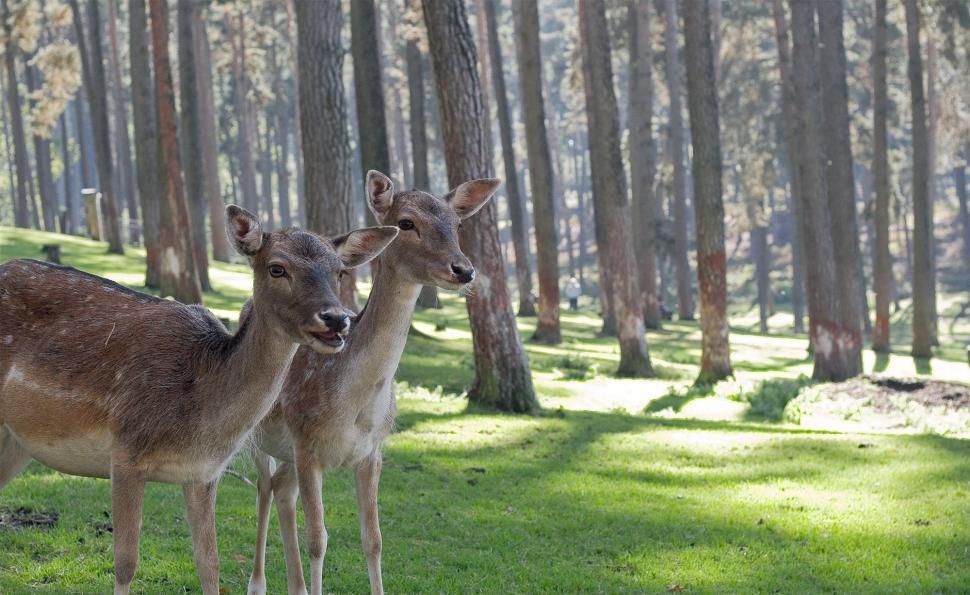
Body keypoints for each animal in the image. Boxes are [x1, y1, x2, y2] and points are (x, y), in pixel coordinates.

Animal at [0, 205, 399, 595]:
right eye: (277, 268)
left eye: (340, 271)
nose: (336, 319)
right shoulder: (125, 451)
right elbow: (126, 564)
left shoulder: (203, 473)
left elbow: (210, 568)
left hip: (16, 443)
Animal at [246, 171, 499, 595]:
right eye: (406, 223)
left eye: (458, 224)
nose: (464, 270)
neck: (355, 406)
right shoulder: (307, 444)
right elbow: (319, 540)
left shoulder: (372, 451)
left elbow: (374, 540)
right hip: (256, 433)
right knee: (265, 487)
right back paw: (257, 583)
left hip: (287, 453)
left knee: (281, 490)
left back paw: (295, 586)